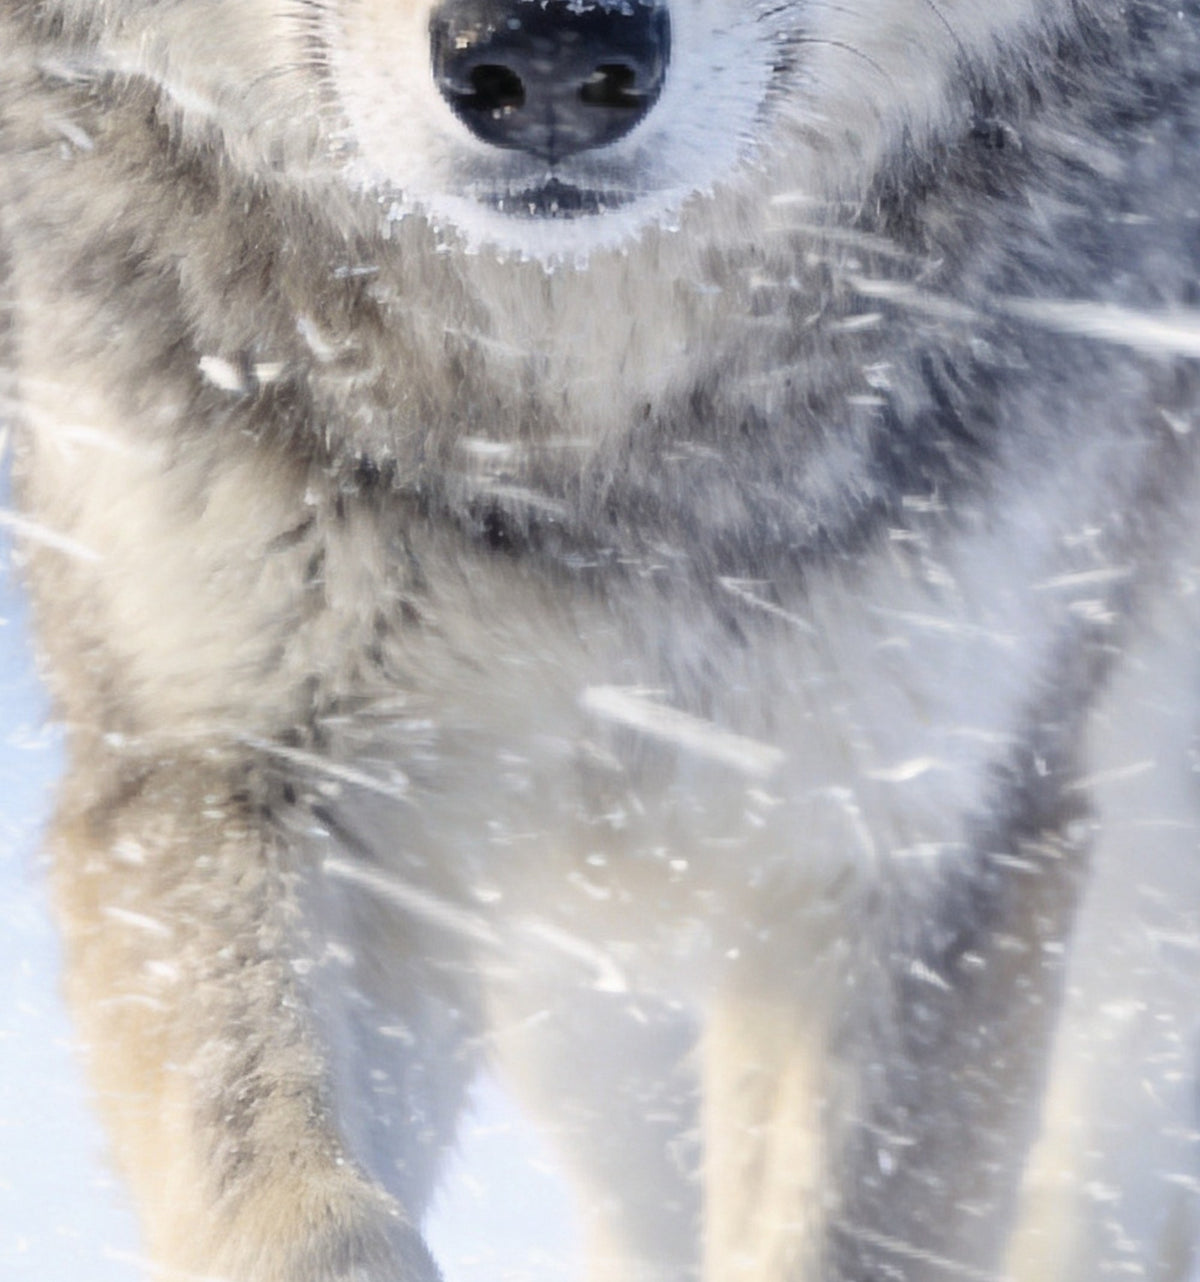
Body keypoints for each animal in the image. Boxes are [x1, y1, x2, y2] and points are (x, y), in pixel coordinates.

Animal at [3, 0, 1200, 1277]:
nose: (548, 58)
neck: (576, 435)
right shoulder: (226, 769)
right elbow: (297, 1198)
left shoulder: (919, 829)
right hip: (583, 1014)